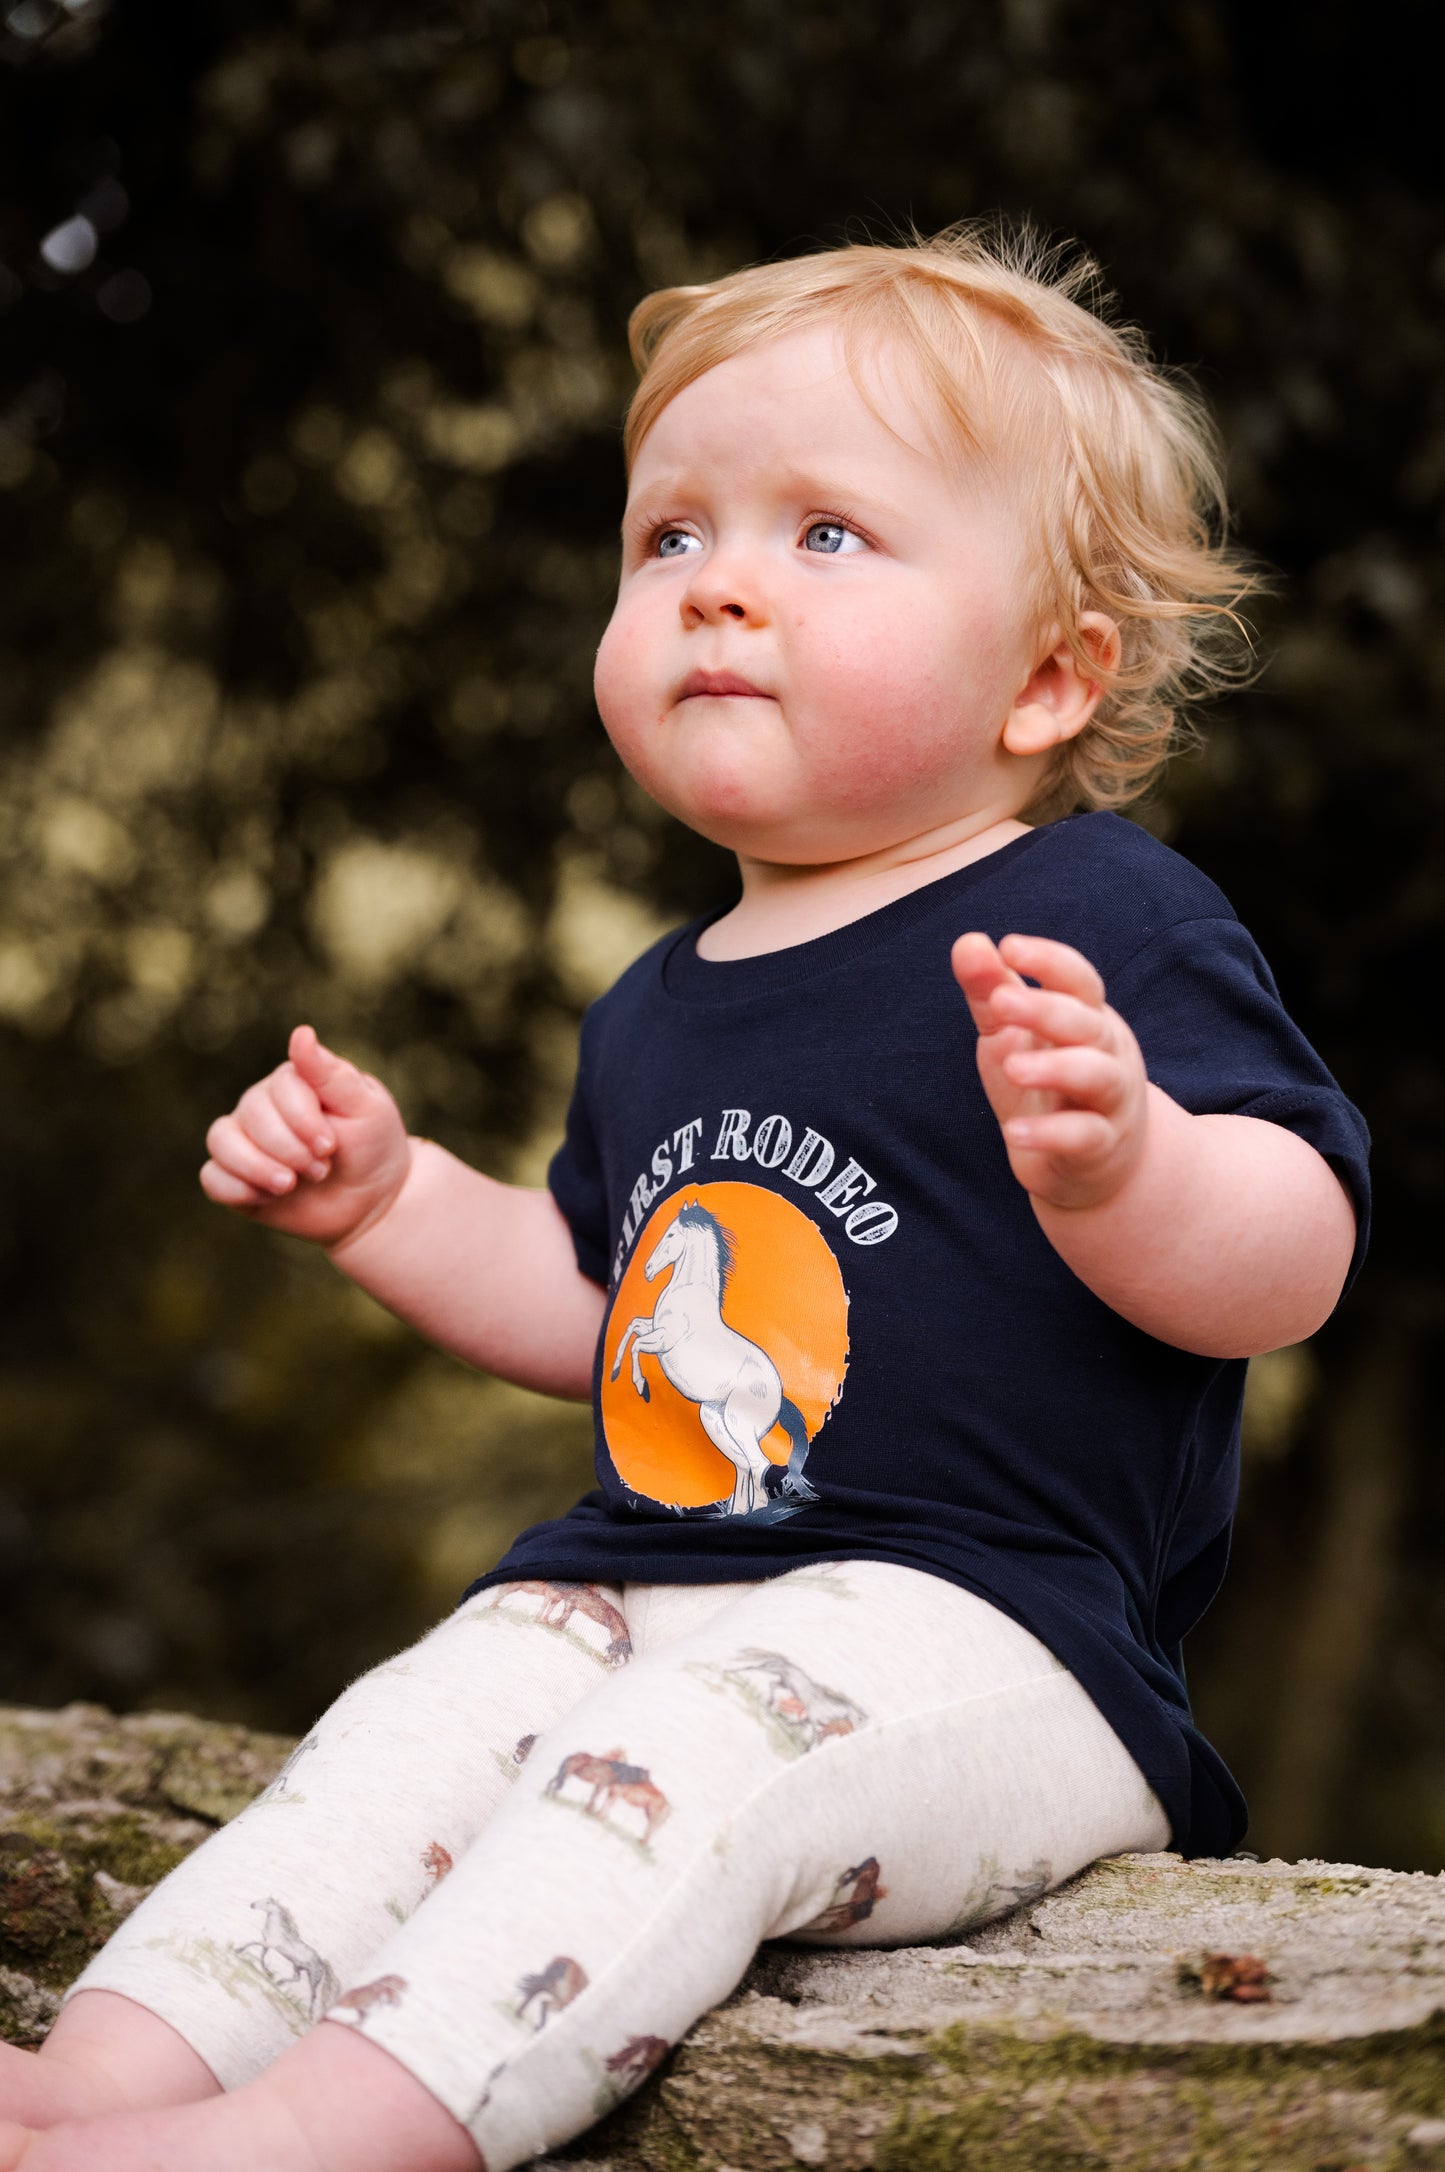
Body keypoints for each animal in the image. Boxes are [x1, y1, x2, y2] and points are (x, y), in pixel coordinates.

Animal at [609, 1201, 819, 1519]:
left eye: (671, 1234)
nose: (647, 1270)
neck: (687, 1294)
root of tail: (779, 1396)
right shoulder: (653, 1327)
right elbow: (632, 1327)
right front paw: (614, 1372)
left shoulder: (663, 1340)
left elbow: (636, 1345)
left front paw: (641, 1388)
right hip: (713, 1419)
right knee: (742, 1464)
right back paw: (738, 1512)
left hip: (738, 1423)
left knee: (758, 1463)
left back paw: (755, 1514)